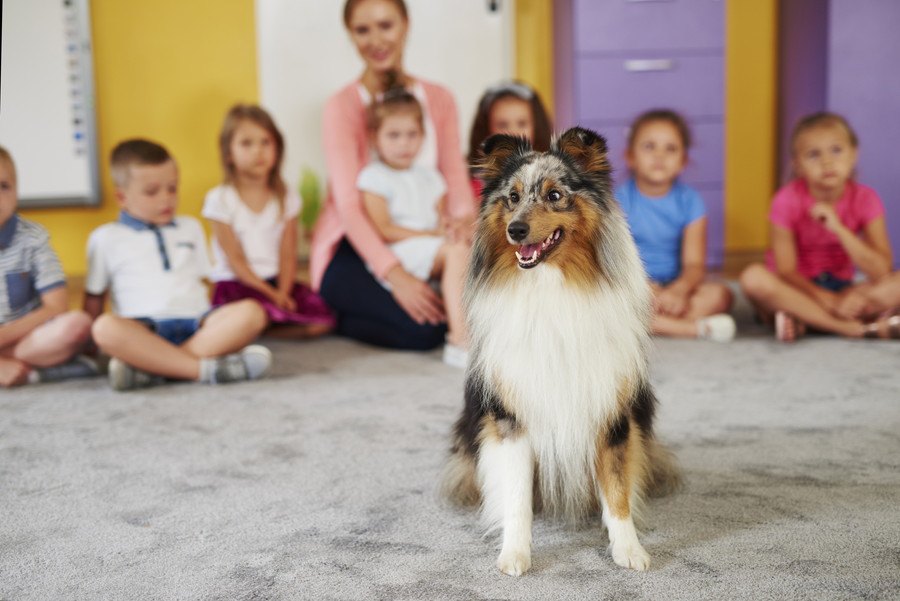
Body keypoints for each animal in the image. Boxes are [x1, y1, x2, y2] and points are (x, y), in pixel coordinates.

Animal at [440, 127, 680, 576]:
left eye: (554, 195)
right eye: (512, 196)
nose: (516, 230)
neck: (551, 286)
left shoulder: (611, 411)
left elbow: (617, 491)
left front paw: (629, 550)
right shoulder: (513, 416)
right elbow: (517, 496)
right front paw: (515, 554)